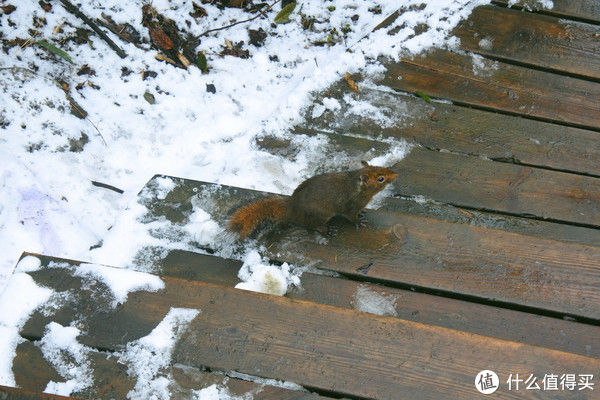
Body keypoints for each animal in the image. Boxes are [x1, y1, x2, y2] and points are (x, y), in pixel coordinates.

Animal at [227, 161, 396, 238]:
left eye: (379, 167)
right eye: (381, 179)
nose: (395, 174)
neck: (355, 186)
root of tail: (291, 209)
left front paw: (362, 213)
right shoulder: (350, 206)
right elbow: (351, 216)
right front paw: (358, 221)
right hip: (319, 215)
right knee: (312, 225)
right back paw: (326, 230)